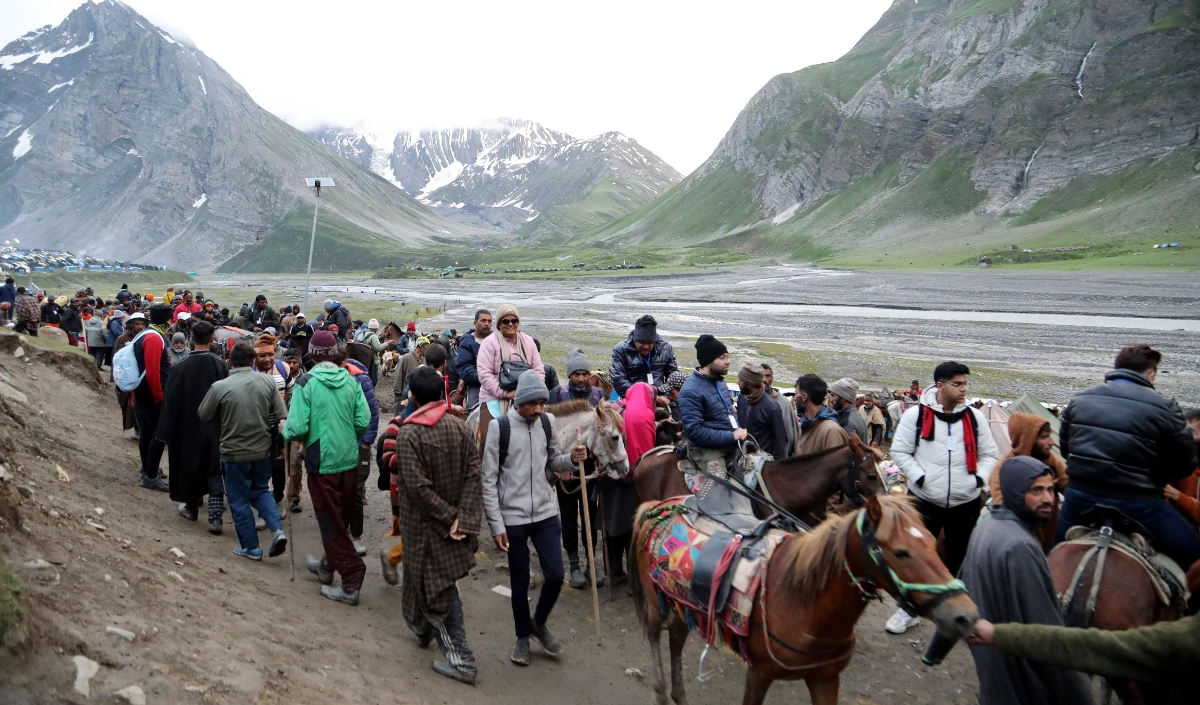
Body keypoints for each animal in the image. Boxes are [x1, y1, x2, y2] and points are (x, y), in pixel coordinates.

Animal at [633, 493, 979, 705]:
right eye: (901, 552)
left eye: (934, 541)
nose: (965, 615)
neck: (804, 604)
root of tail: (659, 505)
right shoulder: (758, 674)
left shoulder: (826, 679)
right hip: (655, 601)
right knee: (654, 633)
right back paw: (662, 692)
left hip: (681, 604)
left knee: (676, 638)